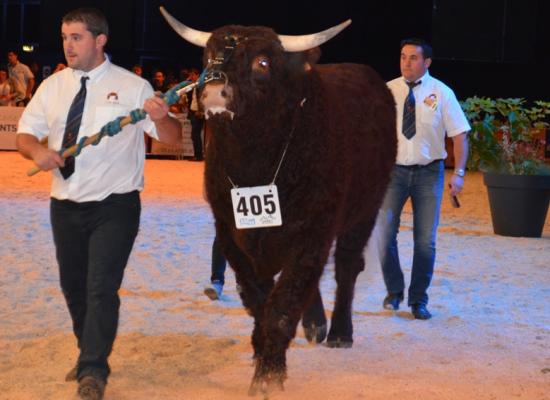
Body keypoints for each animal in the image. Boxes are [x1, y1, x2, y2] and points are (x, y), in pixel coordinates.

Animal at [162, 7, 398, 396]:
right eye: (208, 56)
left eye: (262, 62)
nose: (211, 88)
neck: (255, 165)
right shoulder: (232, 237)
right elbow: (261, 302)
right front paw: (263, 354)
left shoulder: (312, 234)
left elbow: (284, 305)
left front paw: (269, 377)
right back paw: (316, 325)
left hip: (363, 212)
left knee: (347, 267)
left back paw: (339, 333)